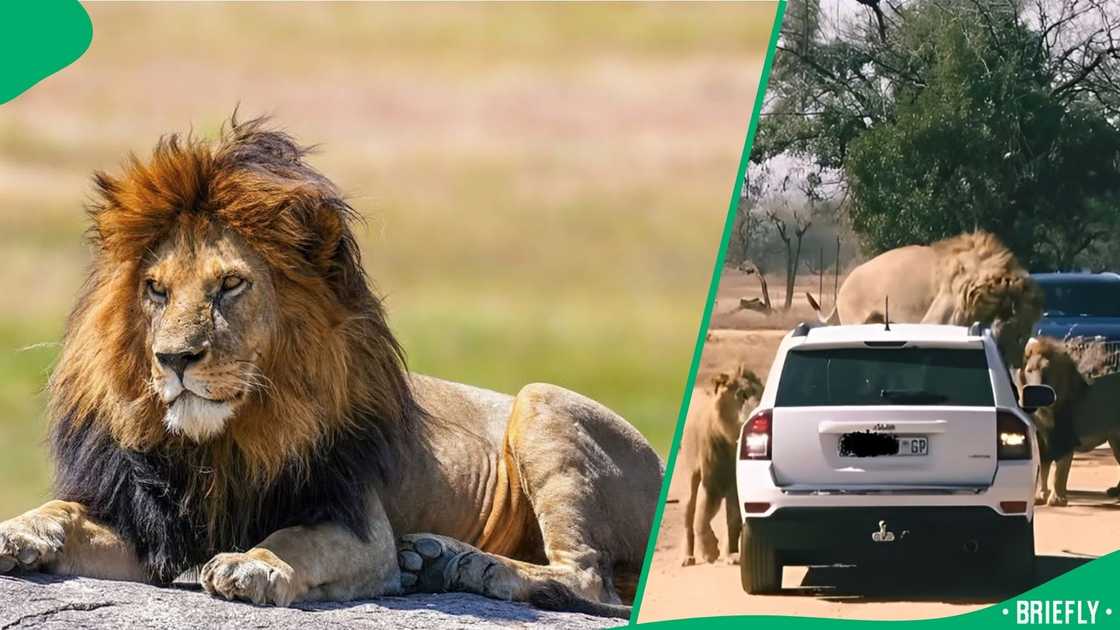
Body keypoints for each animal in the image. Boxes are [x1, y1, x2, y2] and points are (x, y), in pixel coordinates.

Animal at [0, 118, 663, 619]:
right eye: (156, 290)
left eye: (230, 285)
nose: (174, 359)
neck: (223, 442)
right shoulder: (149, 525)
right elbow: (65, 512)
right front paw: (19, 531)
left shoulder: (357, 525)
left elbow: (294, 539)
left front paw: (252, 564)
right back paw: (437, 560)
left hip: (541, 401)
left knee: (588, 580)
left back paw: (469, 565)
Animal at [679, 365, 763, 567]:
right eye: (742, 394)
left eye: (761, 393)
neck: (732, 442)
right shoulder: (712, 484)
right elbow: (701, 517)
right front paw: (710, 551)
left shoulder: (734, 484)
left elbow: (733, 519)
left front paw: (731, 555)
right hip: (690, 476)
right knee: (689, 516)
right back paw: (688, 557)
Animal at [1017, 337, 1120, 506]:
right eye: (1030, 371)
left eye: (1047, 371)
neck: (1045, 411)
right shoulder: (1042, 441)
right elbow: (1043, 470)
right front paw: (1040, 496)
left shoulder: (1065, 439)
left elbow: (1059, 472)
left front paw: (1057, 500)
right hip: (1115, 440)